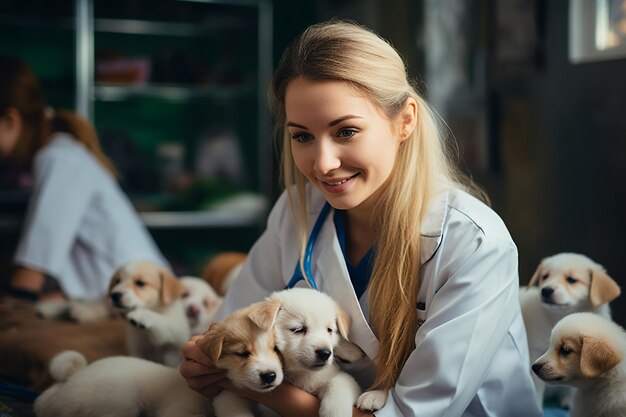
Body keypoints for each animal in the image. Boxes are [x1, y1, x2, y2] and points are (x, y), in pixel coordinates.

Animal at [264, 288, 366, 416]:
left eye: (329, 330)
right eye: (298, 329)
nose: (325, 353)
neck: (305, 374)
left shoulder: (342, 378)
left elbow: (337, 384)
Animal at [516, 250, 620, 404]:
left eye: (571, 279)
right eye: (545, 276)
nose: (546, 290)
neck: (557, 317)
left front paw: (570, 401)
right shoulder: (536, 351)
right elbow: (537, 387)